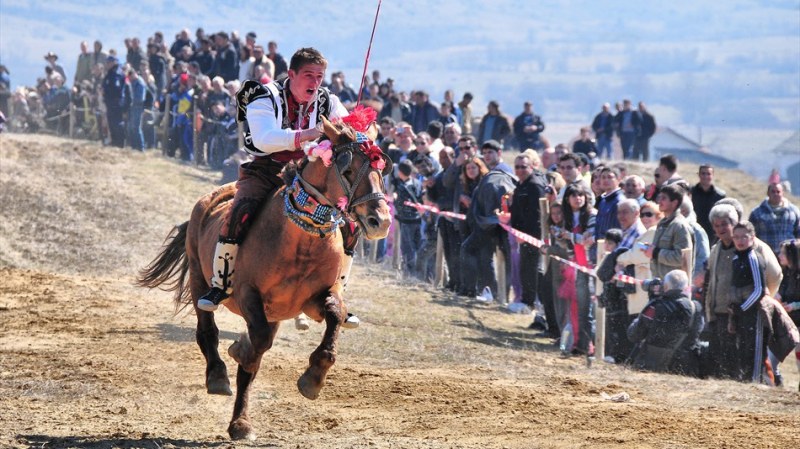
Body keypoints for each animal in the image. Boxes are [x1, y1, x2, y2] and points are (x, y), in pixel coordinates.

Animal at [138, 114, 394, 438]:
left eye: (380, 170)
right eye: (347, 169)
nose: (380, 221)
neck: (301, 239)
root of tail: (212, 197)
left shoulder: (315, 300)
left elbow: (335, 314)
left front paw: (313, 378)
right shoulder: (247, 294)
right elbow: (255, 347)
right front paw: (240, 358)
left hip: (273, 312)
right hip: (199, 276)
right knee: (208, 329)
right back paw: (220, 380)